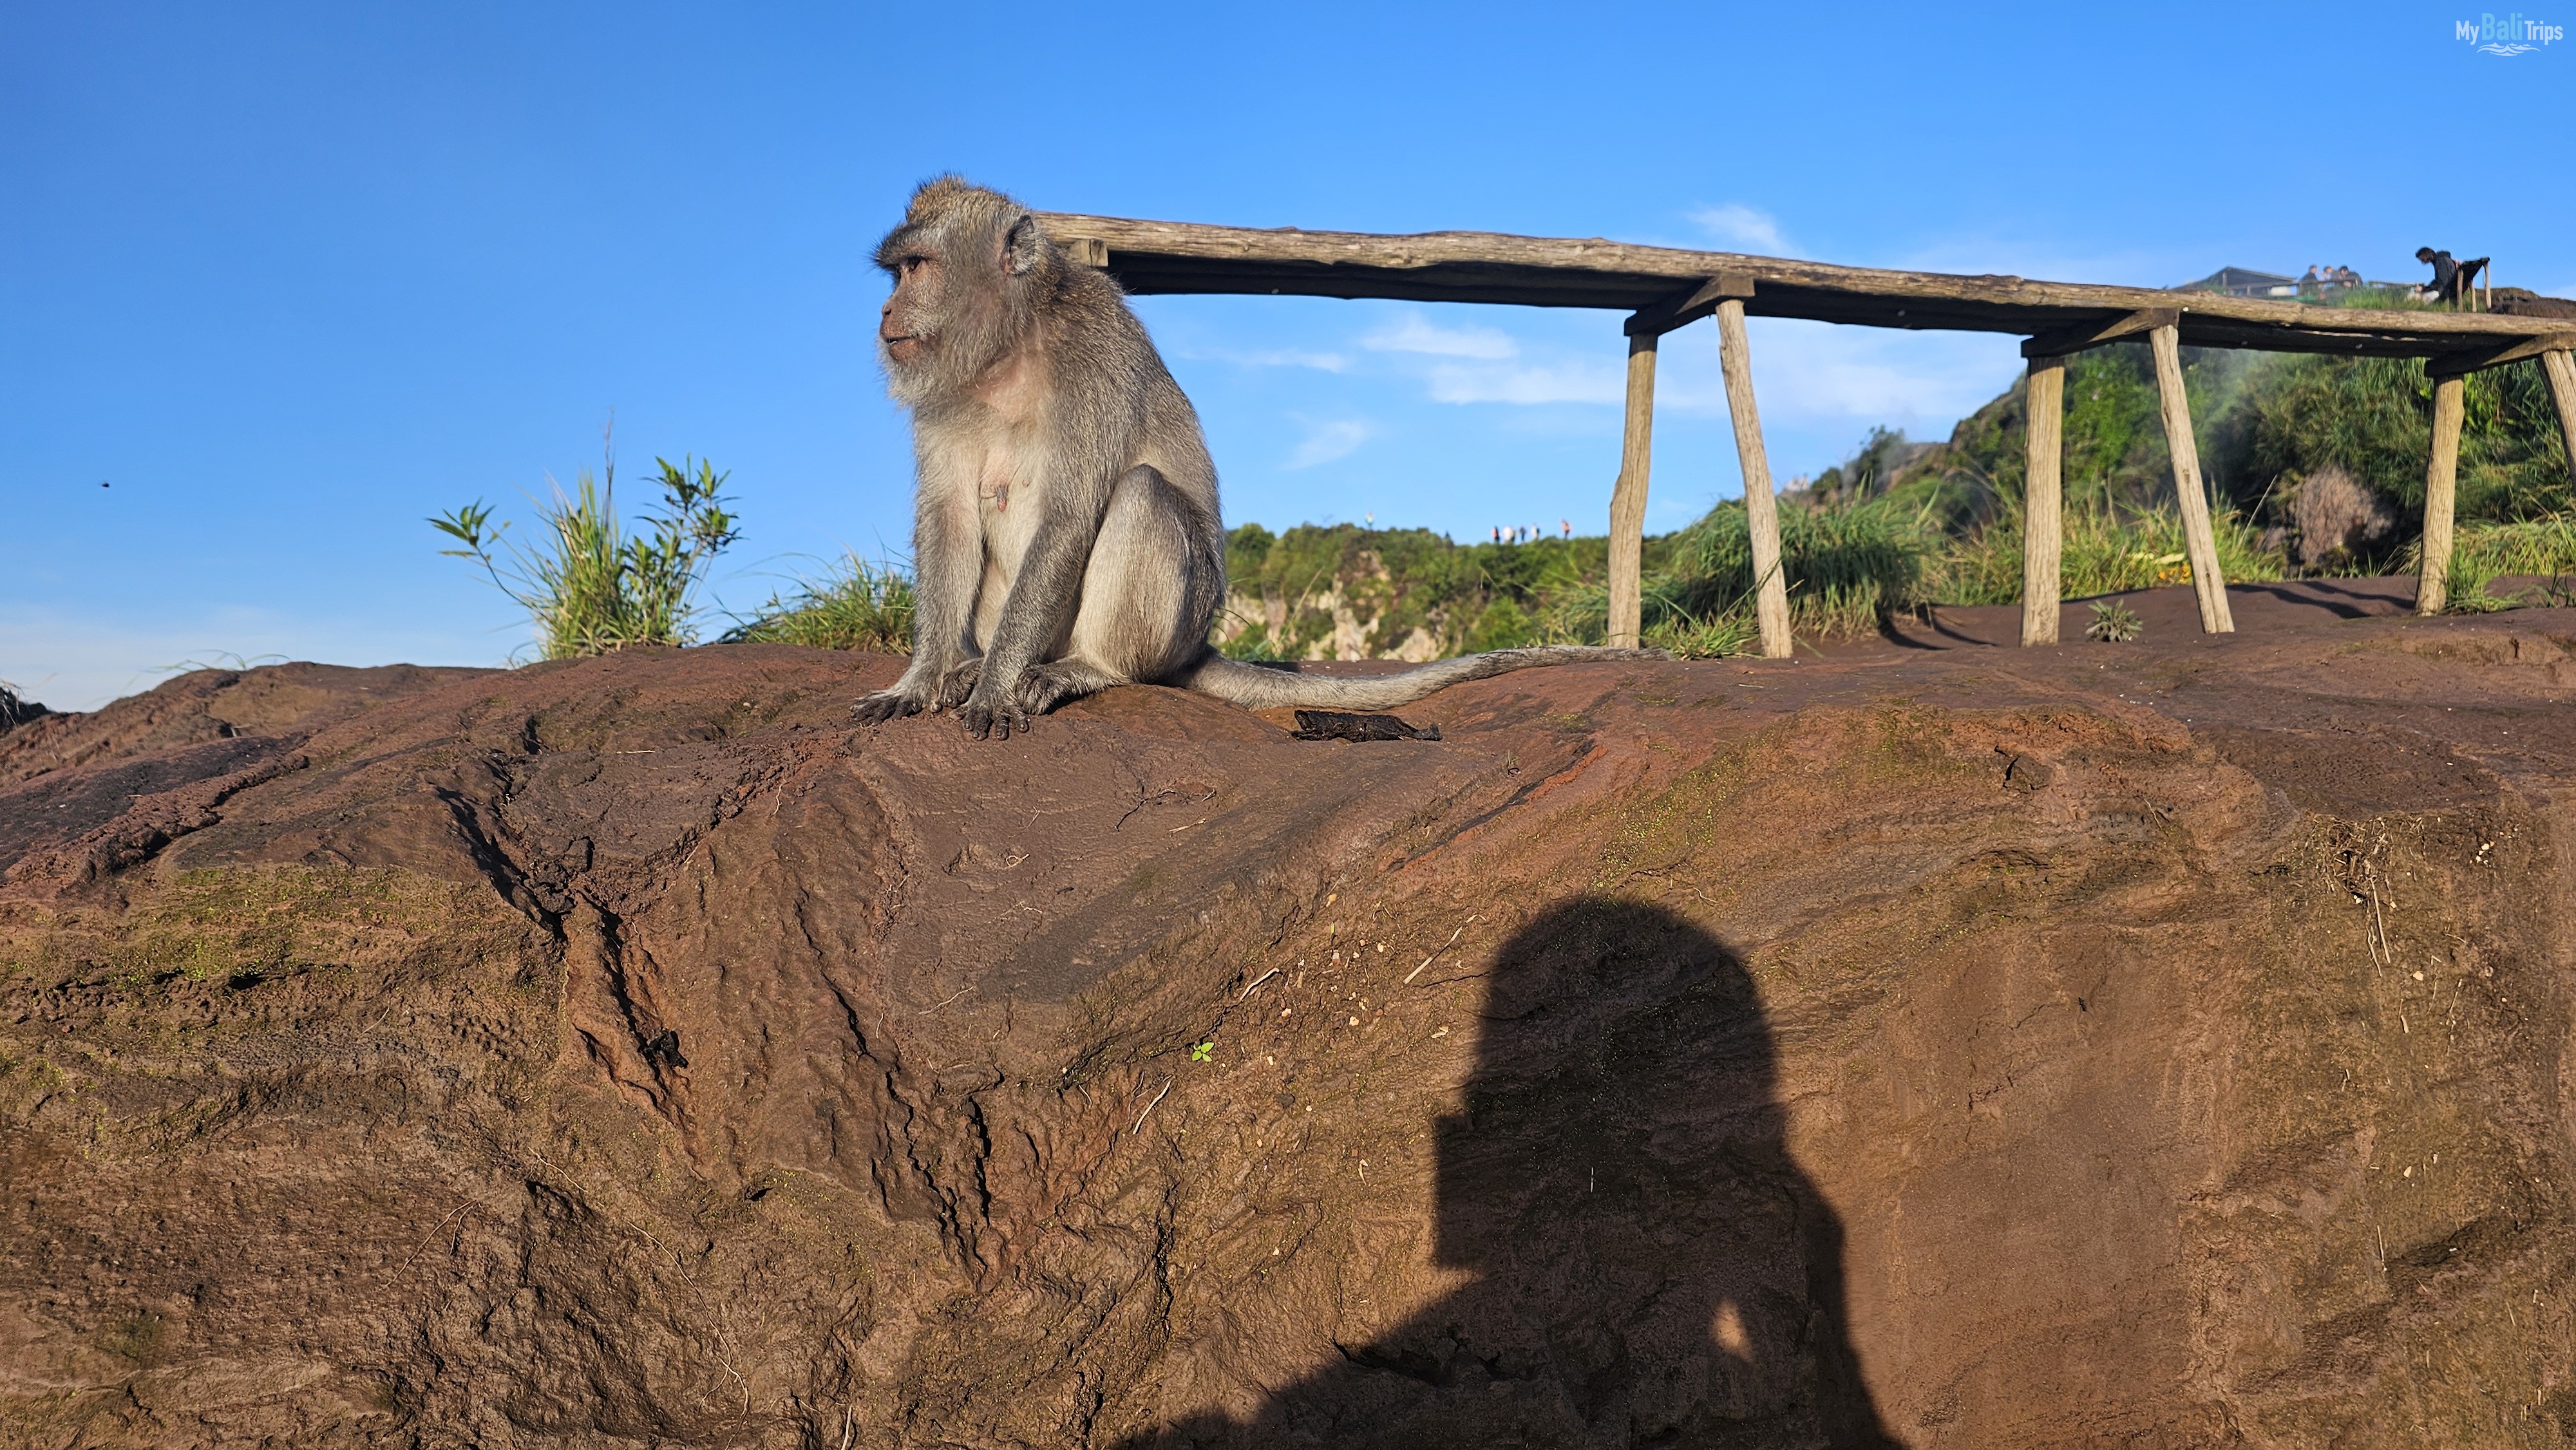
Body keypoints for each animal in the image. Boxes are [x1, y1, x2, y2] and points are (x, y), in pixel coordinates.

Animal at [855, 182, 1659, 742]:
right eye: (895, 274)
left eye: (916, 268)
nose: (885, 315)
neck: (1008, 351)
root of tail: (1198, 643)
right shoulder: (943, 395)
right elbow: (949, 517)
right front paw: (922, 680)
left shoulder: (1093, 355)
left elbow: (1068, 517)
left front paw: (993, 688)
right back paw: (969, 664)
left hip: (1171, 624)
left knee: (1140, 493)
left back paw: (1083, 667)